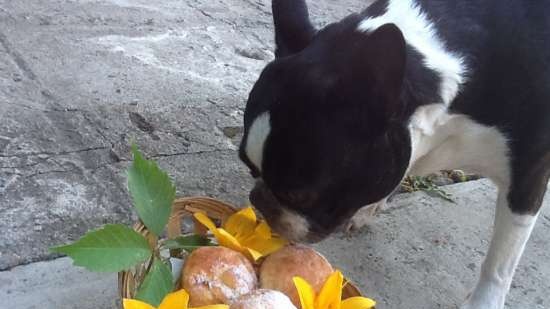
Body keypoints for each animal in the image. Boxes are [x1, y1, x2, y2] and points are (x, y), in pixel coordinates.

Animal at [239, 1, 548, 306]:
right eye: (249, 168)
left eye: (299, 195)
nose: (258, 199)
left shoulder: (527, 179)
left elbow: (499, 264)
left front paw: (483, 302)